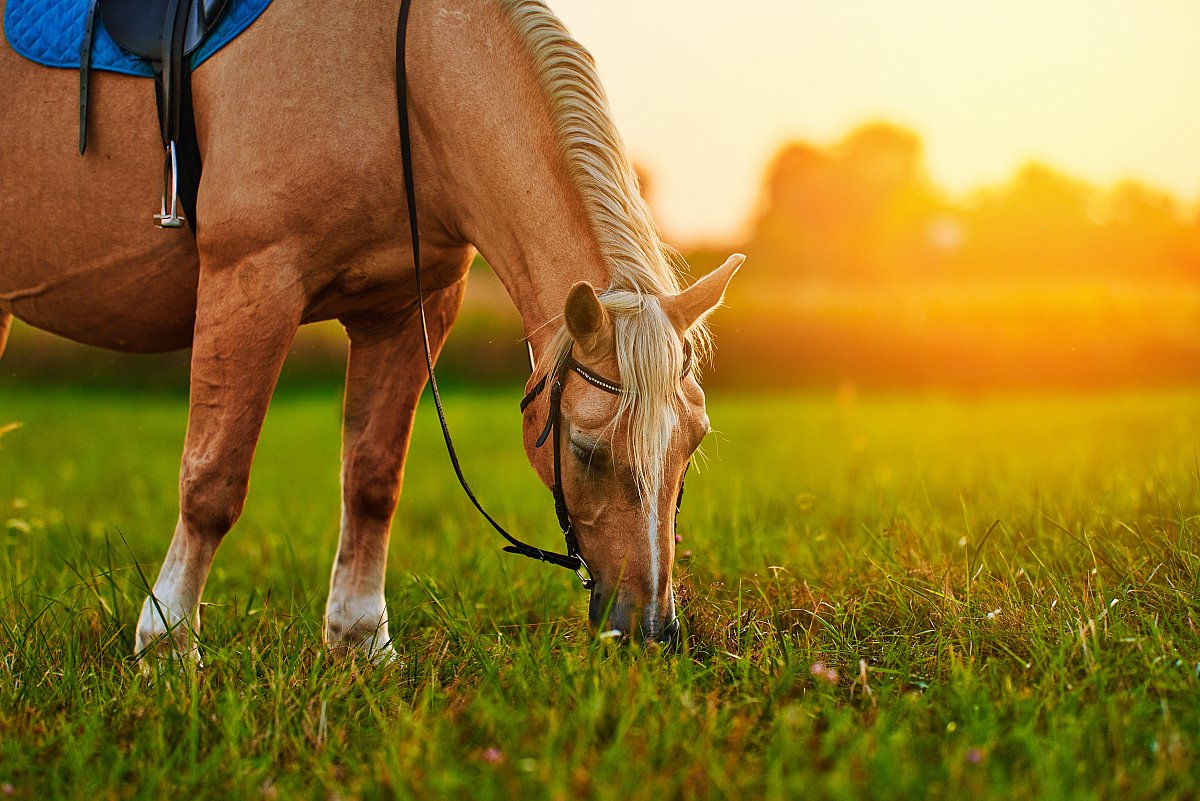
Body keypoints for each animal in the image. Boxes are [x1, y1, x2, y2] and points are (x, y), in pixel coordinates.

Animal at [0, 0, 739, 661]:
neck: (401, 81)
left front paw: (359, 639)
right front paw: (169, 643)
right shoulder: (252, 282)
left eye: (696, 440)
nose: (649, 631)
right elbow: (213, 481)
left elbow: (374, 478)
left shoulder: (409, 309)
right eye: (585, 451)